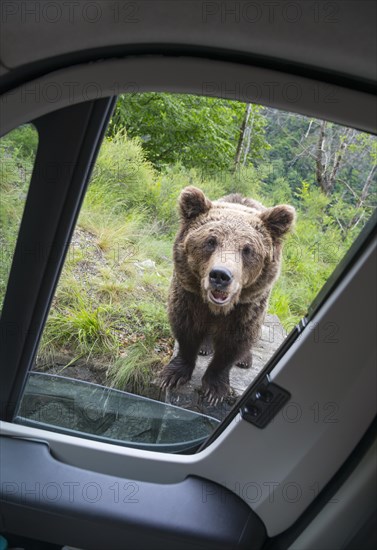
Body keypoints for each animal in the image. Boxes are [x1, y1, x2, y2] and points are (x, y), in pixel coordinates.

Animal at [160, 187, 296, 406]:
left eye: (248, 249)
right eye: (210, 241)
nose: (220, 275)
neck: (217, 307)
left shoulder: (246, 307)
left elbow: (235, 341)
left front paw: (215, 389)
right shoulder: (189, 295)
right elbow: (186, 327)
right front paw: (174, 374)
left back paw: (244, 359)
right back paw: (205, 346)